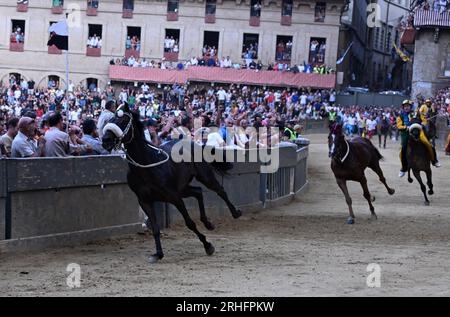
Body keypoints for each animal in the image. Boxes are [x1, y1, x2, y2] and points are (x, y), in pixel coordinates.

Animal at [102, 103, 243, 262]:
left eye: (123, 120)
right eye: (110, 119)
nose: (105, 140)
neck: (147, 164)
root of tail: (193, 143)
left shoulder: (173, 197)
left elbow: (189, 223)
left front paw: (208, 245)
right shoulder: (145, 200)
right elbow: (155, 228)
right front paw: (158, 253)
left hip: (204, 177)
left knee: (219, 190)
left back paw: (235, 213)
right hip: (183, 188)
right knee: (198, 192)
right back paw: (208, 223)